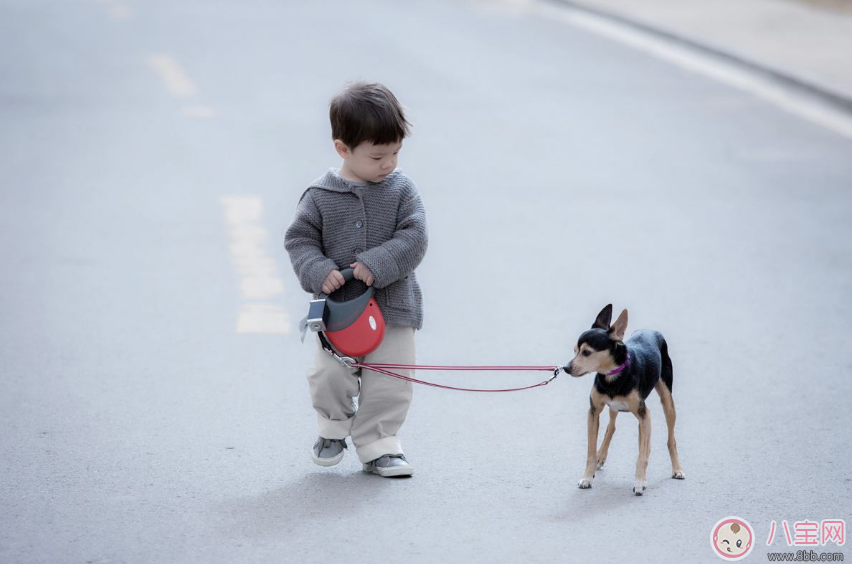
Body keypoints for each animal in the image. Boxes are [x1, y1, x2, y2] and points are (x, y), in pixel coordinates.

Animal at [564, 304, 684, 494]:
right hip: (615, 408)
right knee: (612, 427)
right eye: (574, 351)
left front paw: (640, 481)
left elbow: (642, 455)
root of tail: (652, 331)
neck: (612, 376)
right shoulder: (593, 412)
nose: (566, 368)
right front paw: (587, 477)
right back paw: (601, 456)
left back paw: (676, 469)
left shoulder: (644, 414)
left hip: (667, 402)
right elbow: (590, 452)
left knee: (669, 439)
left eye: (586, 352)